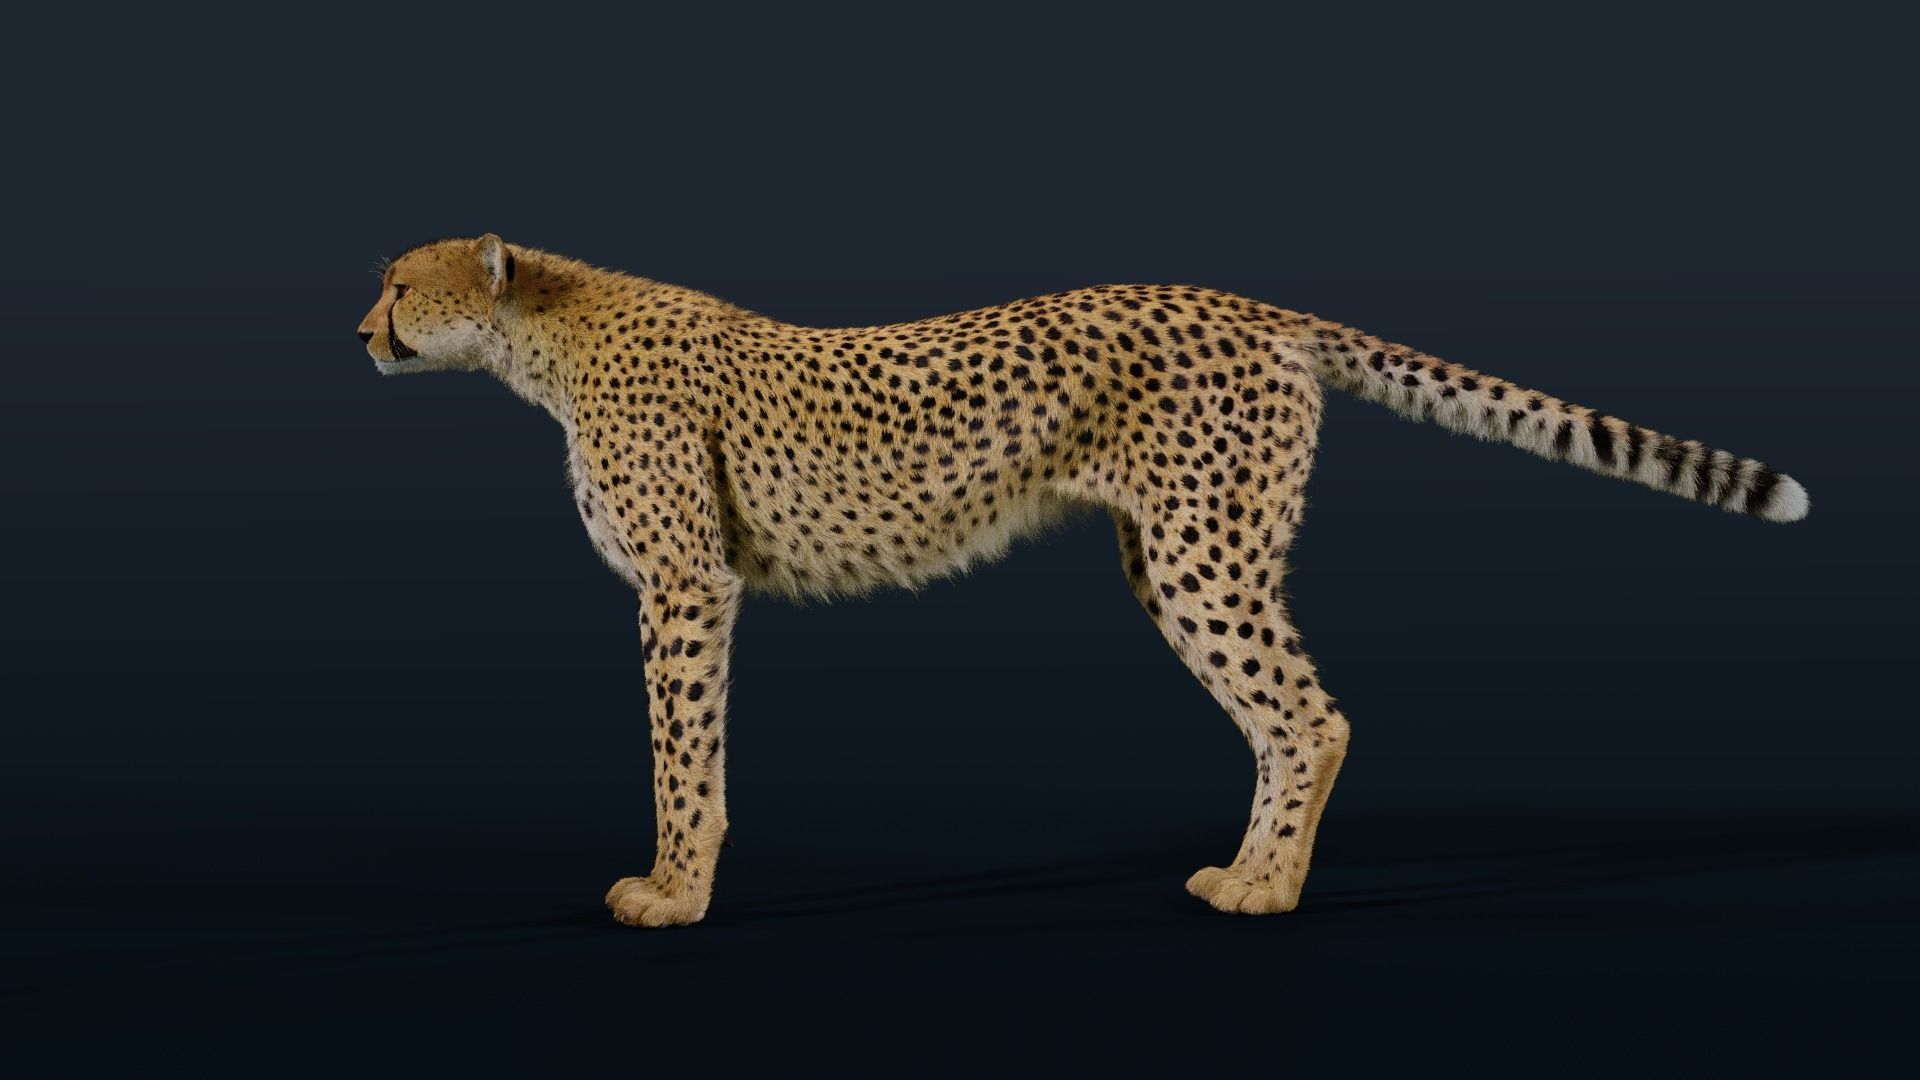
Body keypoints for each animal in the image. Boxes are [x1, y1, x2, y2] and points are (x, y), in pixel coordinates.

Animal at [356, 235, 1809, 927]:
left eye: (399, 285)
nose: (360, 329)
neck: (543, 332)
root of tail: (1252, 304)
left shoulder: (686, 587)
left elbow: (682, 752)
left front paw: (672, 894)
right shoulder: (692, 588)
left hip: (1205, 551)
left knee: (1312, 716)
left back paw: (1268, 891)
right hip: (1173, 558)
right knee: (1283, 718)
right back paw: (1249, 871)